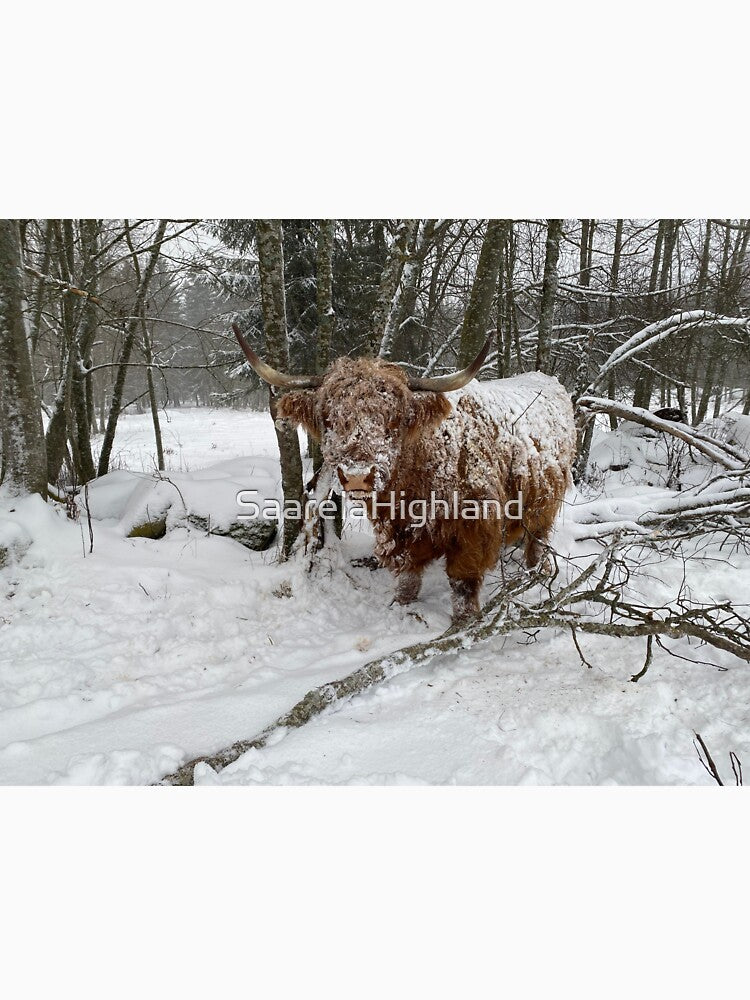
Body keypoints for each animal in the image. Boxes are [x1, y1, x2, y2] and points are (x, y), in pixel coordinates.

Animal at [233, 325, 576, 623]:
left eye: (395, 419)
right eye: (328, 418)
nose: (357, 475)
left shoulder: (474, 529)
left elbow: (463, 584)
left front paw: (464, 622)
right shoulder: (399, 533)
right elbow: (408, 578)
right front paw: (401, 606)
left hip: (544, 503)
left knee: (538, 540)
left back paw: (536, 574)